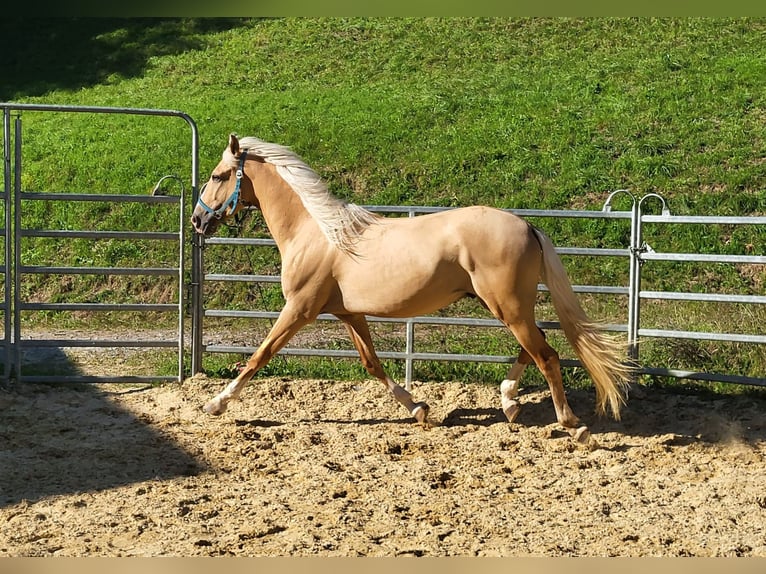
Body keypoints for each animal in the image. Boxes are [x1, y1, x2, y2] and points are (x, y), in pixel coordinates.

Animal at [192, 135, 632, 446]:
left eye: (217, 175)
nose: (197, 220)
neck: (318, 233)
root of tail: (528, 226)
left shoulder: (299, 309)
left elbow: (259, 356)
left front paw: (215, 403)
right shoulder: (349, 312)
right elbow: (372, 363)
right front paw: (420, 409)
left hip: (507, 306)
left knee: (547, 355)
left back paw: (573, 425)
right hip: (507, 306)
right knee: (536, 346)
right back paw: (509, 402)